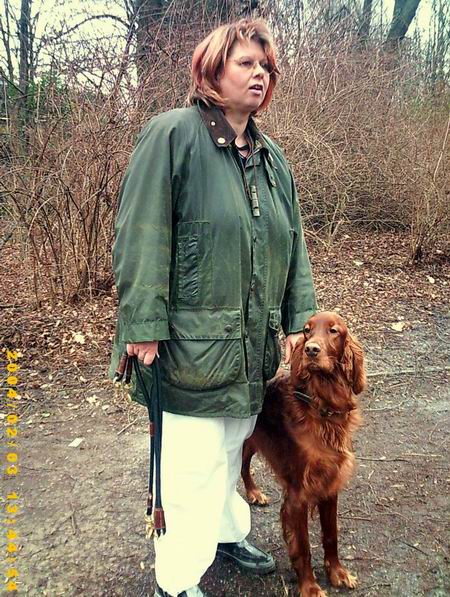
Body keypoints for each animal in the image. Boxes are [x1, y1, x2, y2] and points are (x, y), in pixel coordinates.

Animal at [242, 311, 366, 597]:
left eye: (333, 331)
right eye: (307, 330)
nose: (310, 349)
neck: (321, 406)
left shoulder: (330, 484)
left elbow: (331, 535)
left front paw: (337, 573)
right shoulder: (298, 494)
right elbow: (304, 546)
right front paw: (309, 586)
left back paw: (254, 492)